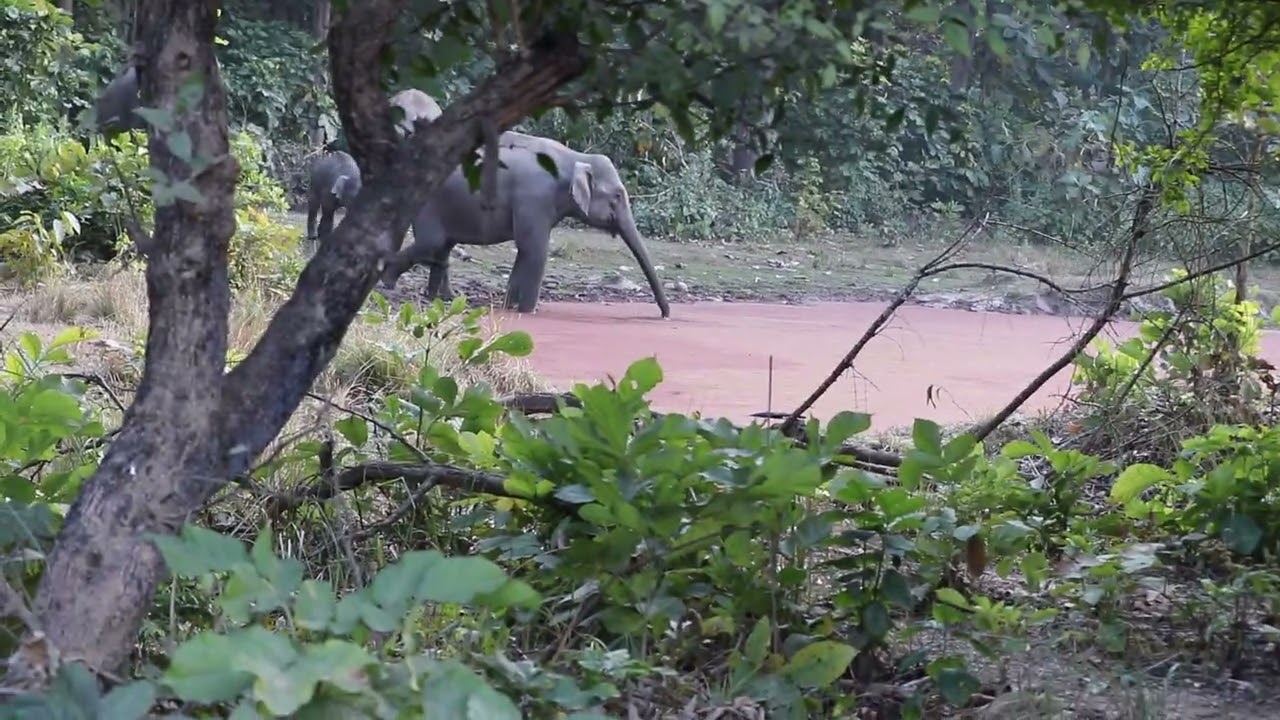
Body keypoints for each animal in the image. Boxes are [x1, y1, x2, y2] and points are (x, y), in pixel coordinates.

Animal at [379, 135, 670, 318]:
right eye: (618, 196)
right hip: (427, 203)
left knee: (442, 249)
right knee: (431, 244)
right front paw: (529, 311)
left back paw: (440, 298)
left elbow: (525, 251)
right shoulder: (535, 198)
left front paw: (510, 306)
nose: (665, 315)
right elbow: (535, 251)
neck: (574, 158)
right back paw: (387, 283)